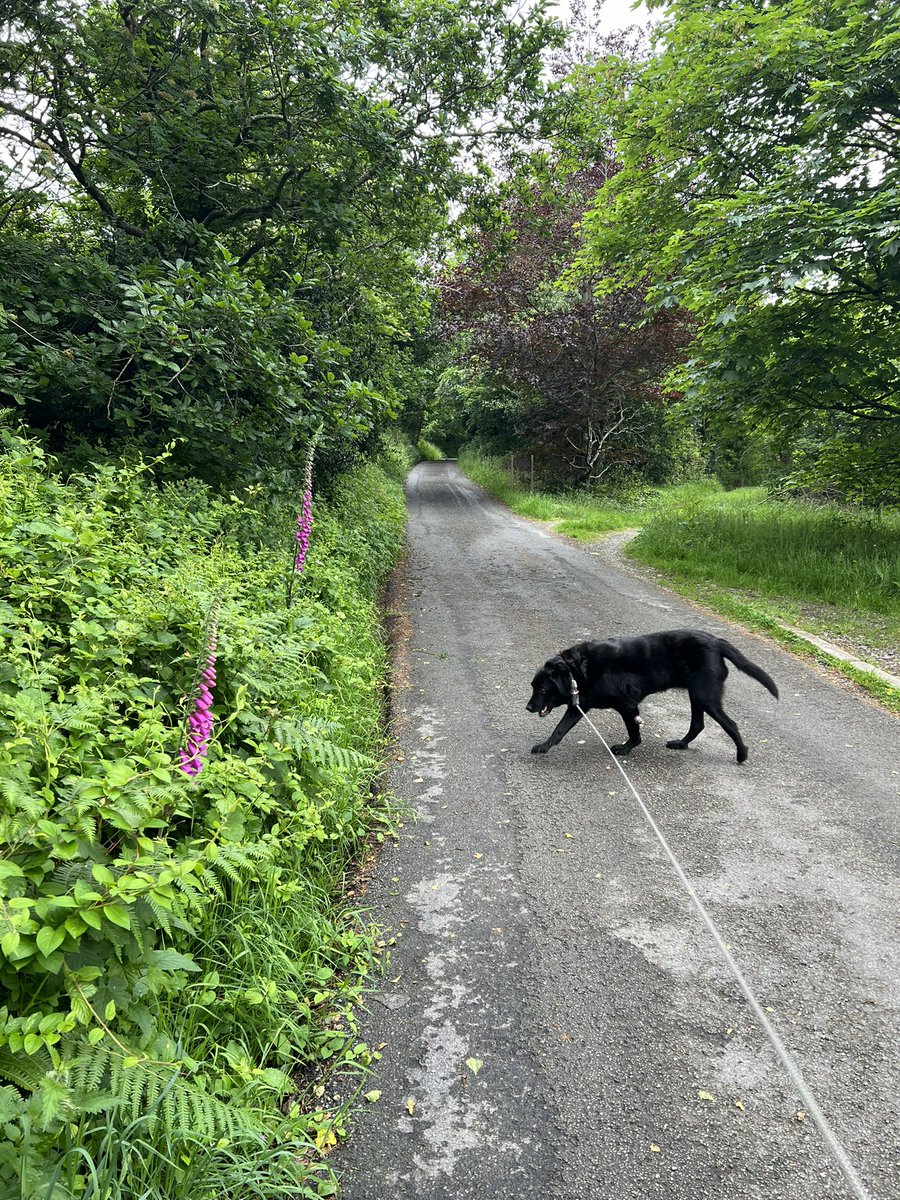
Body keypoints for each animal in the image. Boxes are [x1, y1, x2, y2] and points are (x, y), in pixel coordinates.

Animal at [528, 628, 777, 758]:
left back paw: (742, 754)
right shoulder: (578, 706)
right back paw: (681, 744)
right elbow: (559, 730)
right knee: (698, 725)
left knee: (730, 724)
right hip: (696, 696)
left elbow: (634, 732)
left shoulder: (627, 705)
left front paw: (626, 748)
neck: (578, 669)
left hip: (706, 697)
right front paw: (544, 746)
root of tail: (717, 641)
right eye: (532, 687)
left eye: (543, 689)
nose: (528, 707)